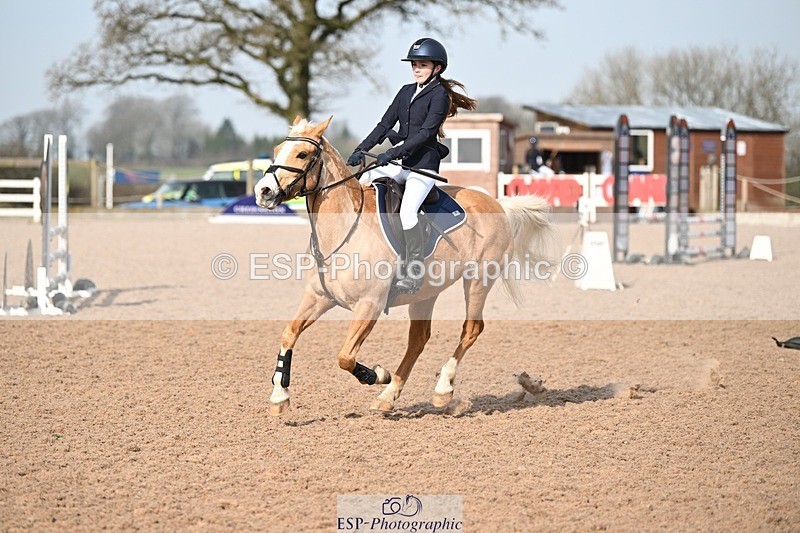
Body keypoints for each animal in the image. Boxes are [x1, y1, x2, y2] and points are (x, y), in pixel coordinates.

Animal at [254, 116, 552, 415]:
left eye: (302, 154)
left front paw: (377, 374)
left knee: (471, 329)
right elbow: (289, 334)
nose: (263, 192)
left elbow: (345, 357)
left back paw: (442, 389)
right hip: (426, 293)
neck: (346, 230)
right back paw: (389, 396)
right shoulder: (319, 298)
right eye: (277, 149)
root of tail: (497, 203)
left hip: (479, 279)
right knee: (418, 339)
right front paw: (279, 396)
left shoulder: (369, 305)